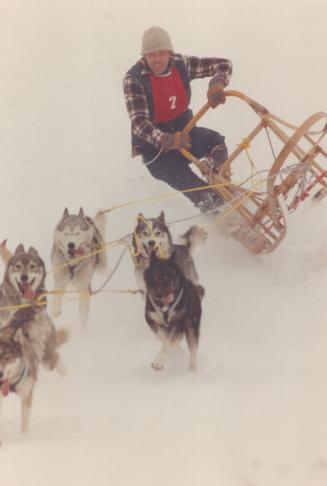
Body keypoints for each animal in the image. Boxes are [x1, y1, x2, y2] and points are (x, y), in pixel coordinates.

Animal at [0, 306, 68, 434]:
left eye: (8, 358)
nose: (0, 374)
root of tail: (32, 306)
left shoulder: (27, 395)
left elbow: (24, 423)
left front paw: (23, 437)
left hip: (47, 358)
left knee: (56, 357)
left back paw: (64, 373)